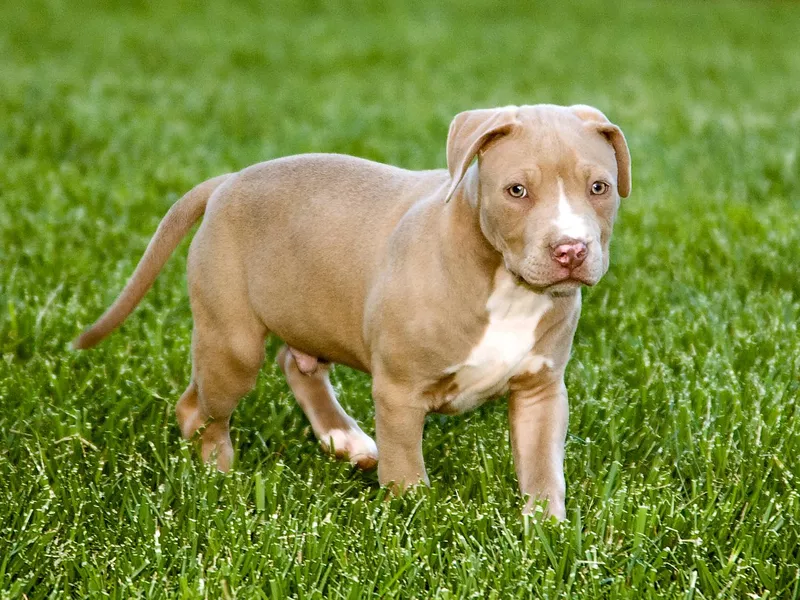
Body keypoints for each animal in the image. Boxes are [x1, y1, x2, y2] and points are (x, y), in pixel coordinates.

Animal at [73, 104, 632, 520]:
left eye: (599, 188)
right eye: (517, 190)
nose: (571, 250)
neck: (506, 283)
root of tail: (228, 181)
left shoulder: (541, 390)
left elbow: (542, 470)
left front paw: (547, 533)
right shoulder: (400, 392)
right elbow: (406, 468)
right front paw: (416, 519)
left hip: (309, 313)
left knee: (296, 364)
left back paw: (342, 438)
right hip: (231, 344)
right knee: (199, 408)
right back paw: (219, 477)